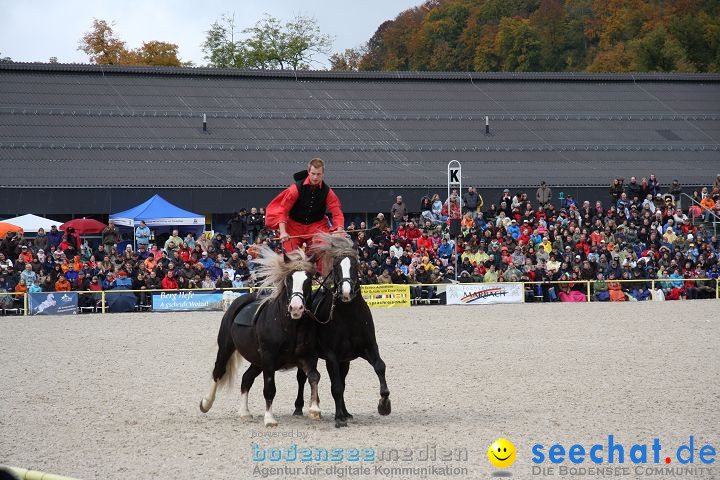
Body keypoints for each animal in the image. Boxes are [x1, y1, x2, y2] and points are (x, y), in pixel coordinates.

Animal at [198, 248, 320, 428]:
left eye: (308, 280)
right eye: (288, 279)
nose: (296, 307)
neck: (289, 326)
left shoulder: (308, 357)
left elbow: (314, 377)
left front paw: (315, 409)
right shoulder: (269, 359)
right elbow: (269, 388)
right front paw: (269, 418)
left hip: (257, 361)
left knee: (246, 379)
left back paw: (245, 413)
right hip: (226, 348)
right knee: (218, 372)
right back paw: (206, 403)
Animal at [294, 235, 390, 428]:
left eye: (355, 265)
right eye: (336, 267)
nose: (346, 292)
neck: (349, 316)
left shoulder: (369, 348)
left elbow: (379, 367)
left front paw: (384, 404)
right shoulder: (332, 357)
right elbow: (336, 387)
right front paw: (339, 417)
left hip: (344, 361)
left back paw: (346, 412)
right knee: (302, 378)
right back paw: (299, 408)